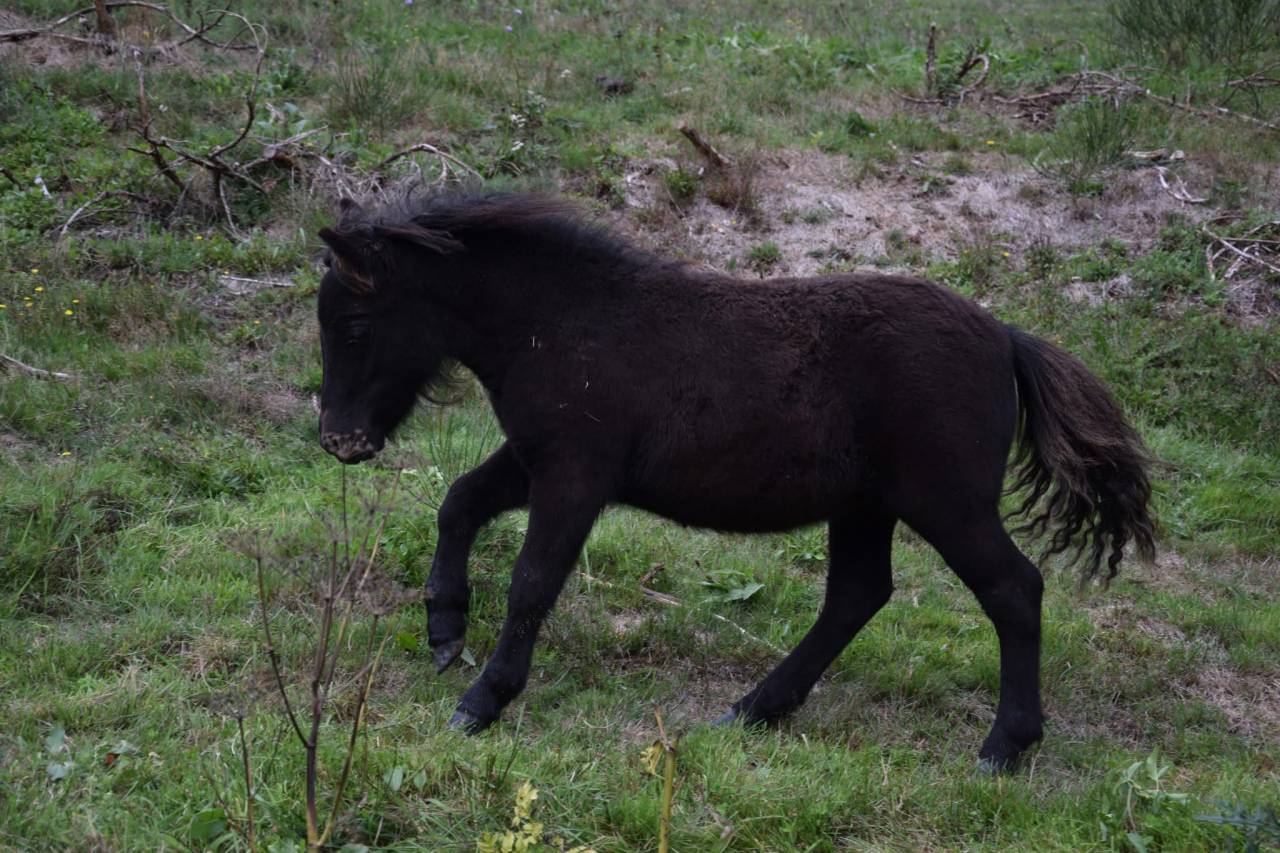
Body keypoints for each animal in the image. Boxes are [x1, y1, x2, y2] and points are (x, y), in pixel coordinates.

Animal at [316, 192, 1155, 770]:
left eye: (354, 324)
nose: (339, 439)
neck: (561, 323)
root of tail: (1005, 337)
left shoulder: (574, 475)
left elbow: (532, 581)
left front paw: (481, 700)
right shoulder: (536, 459)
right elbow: (459, 502)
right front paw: (444, 628)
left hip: (946, 503)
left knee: (1013, 589)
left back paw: (1004, 745)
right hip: (866, 505)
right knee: (857, 595)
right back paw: (754, 709)